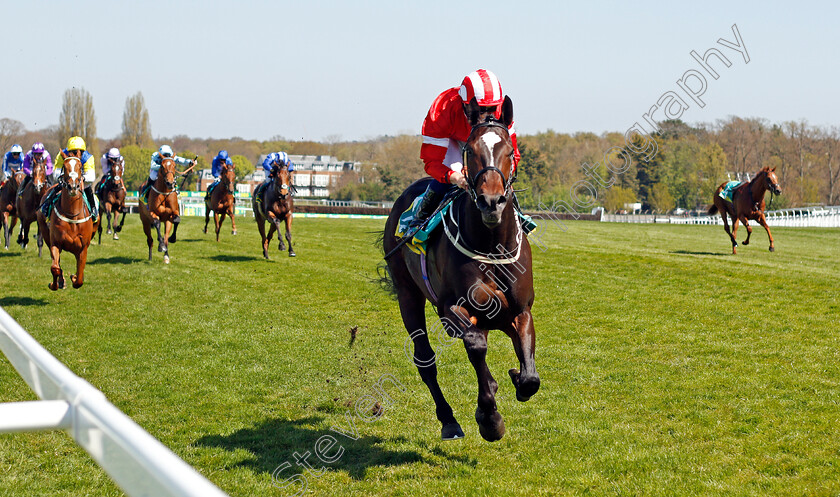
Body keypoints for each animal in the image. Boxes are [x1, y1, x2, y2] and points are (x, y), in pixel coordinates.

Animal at [36, 158, 98, 290]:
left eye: (80, 166)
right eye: (64, 167)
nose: (73, 187)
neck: (72, 214)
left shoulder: (83, 247)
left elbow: (79, 276)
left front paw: (74, 277)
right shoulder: (55, 242)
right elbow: (55, 268)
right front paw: (55, 284)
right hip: (46, 234)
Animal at [380, 97, 540, 442]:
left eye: (509, 150)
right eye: (470, 150)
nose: (491, 201)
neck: (491, 245)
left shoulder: (519, 310)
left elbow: (530, 375)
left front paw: (516, 378)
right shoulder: (451, 309)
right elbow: (476, 346)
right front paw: (489, 418)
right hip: (407, 293)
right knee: (425, 359)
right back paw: (449, 420)